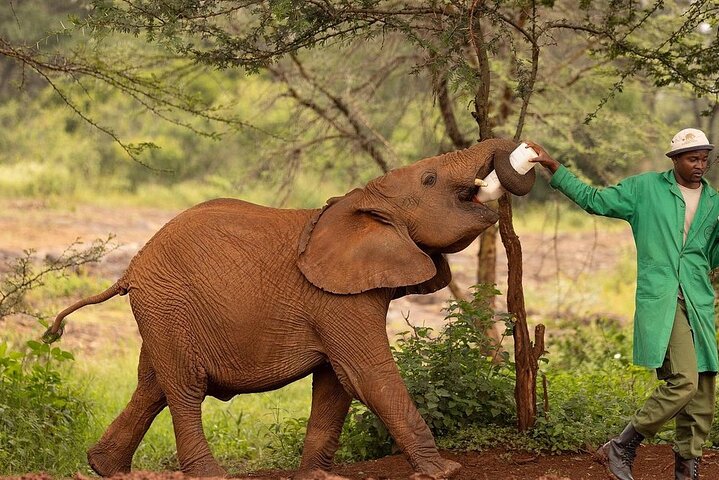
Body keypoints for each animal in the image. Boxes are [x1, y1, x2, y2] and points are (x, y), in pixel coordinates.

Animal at [44, 138, 533, 479]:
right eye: (429, 179)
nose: (528, 154)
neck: (363, 199)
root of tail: (130, 269)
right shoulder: (336, 300)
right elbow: (368, 374)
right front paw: (445, 471)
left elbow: (336, 383)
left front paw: (317, 476)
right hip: (167, 302)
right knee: (183, 387)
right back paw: (209, 474)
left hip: (161, 310)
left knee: (152, 386)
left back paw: (104, 467)